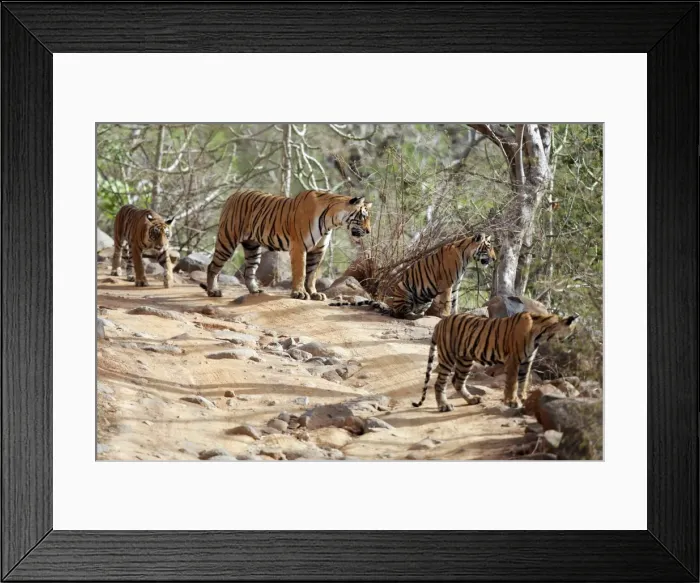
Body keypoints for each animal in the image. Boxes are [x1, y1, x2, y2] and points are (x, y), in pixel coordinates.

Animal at [200, 189, 372, 300]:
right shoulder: (299, 247)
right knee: (212, 266)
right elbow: (301, 272)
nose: (369, 231)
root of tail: (234, 194)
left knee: (249, 270)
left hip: (252, 247)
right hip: (227, 240)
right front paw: (299, 293)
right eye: (363, 216)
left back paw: (255, 291)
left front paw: (314, 294)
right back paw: (213, 291)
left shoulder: (318, 250)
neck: (331, 221)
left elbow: (312, 275)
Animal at [330, 233, 496, 319]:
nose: (495, 259)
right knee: (401, 313)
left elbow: (454, 302)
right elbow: (447, 302)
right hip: (405, 290)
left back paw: (420, 313)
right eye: (488, 248)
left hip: (426, 298)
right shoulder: (447, 284)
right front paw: (445, 315)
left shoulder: (455, 285)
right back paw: (414, 316)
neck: (466, 256)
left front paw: (455, 315)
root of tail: (391, 307)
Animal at [413, 311, 578, 412]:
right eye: (572, 335)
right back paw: (444, 405)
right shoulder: (514, 359)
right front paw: (512, 401)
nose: (573, 346)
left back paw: (471, 399)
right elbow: (512, 382)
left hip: (465, 360)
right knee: (439, 383)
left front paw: (524, 398)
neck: (541, 335)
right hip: (448, 356)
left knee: (457, 381)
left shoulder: (527, 361)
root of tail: (440, 322)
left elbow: (523, 381)